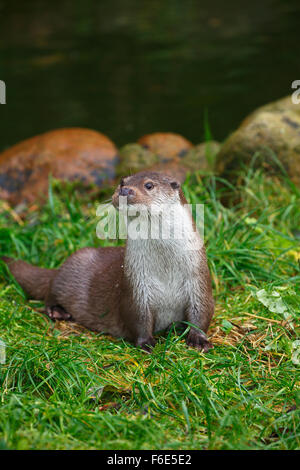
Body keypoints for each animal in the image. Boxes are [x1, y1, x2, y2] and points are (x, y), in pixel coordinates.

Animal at [1, 171, 214, 350]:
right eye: (122, 182)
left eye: (149, 185)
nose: (125, 190)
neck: (166, 270)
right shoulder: (136, 287)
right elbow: (139, 318)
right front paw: (146, 343)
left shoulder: (198, 280)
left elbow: (201, 312)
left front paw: (199, 339)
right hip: (71, 269)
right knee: (50, 291)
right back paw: (57, 311)